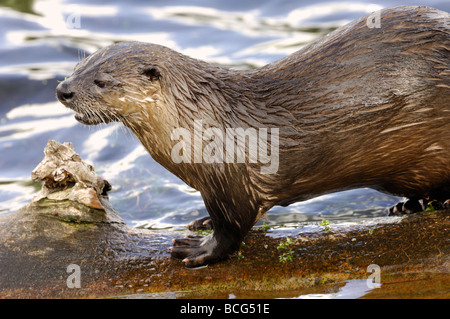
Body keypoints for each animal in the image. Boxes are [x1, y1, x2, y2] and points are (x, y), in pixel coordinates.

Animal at [57, 6, 450, 268]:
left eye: (102, 81)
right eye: (77, 67)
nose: (62, 90)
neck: (203, 122)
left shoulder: (231, 179)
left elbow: (232, 230)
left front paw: (198, 249)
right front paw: (202, 221)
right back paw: (406, 205)